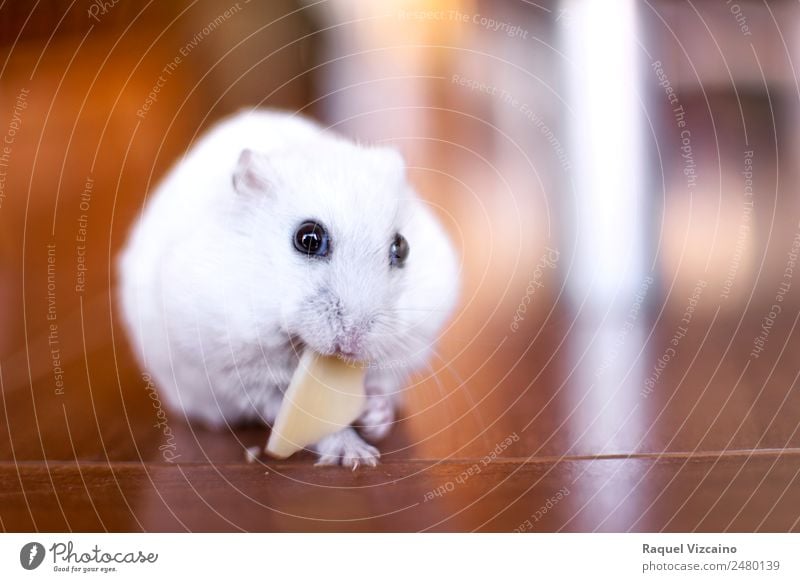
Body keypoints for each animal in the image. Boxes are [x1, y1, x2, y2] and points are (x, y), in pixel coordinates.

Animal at [115, 109, 460, 470]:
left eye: (402, 248)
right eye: (307, 238)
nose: (351, 345)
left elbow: (382, 386)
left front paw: (373, 415)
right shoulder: (238, 370)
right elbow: (296, 412)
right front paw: (358, 458)